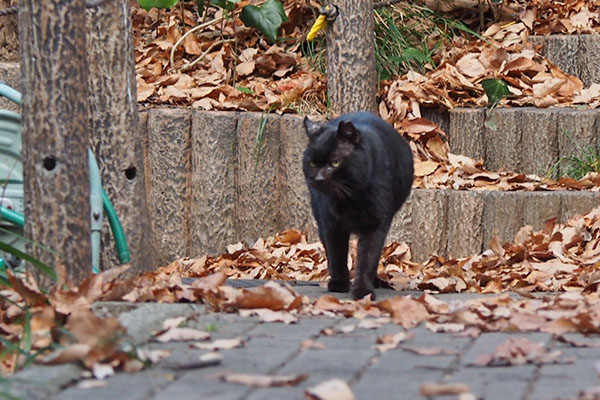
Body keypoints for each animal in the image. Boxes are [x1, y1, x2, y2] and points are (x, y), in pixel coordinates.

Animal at [302, 111, 414, 298]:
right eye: (312, 164)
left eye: (335, 163)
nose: (318, 179)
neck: (350, 198)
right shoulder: (331, 224)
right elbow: (337, 254)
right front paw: (339, 284)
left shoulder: (375, 223)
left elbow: (368, 258)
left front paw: (363, 291)